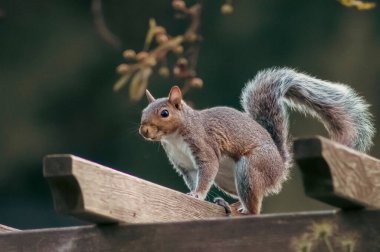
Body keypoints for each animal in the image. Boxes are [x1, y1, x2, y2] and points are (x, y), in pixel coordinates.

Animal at [139, 67, 374, 215]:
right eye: (143, 111)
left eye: (165, 113)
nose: (144, 131)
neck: (174, 138)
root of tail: (279, 165)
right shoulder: (185, 166)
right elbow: (194, 177)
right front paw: (195, 195)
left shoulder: (203, 147)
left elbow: (206, 172)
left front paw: (197, 194)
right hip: (230, 180)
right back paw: (232, 206)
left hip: (250, 168)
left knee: (255, 207)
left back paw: (244, 210)